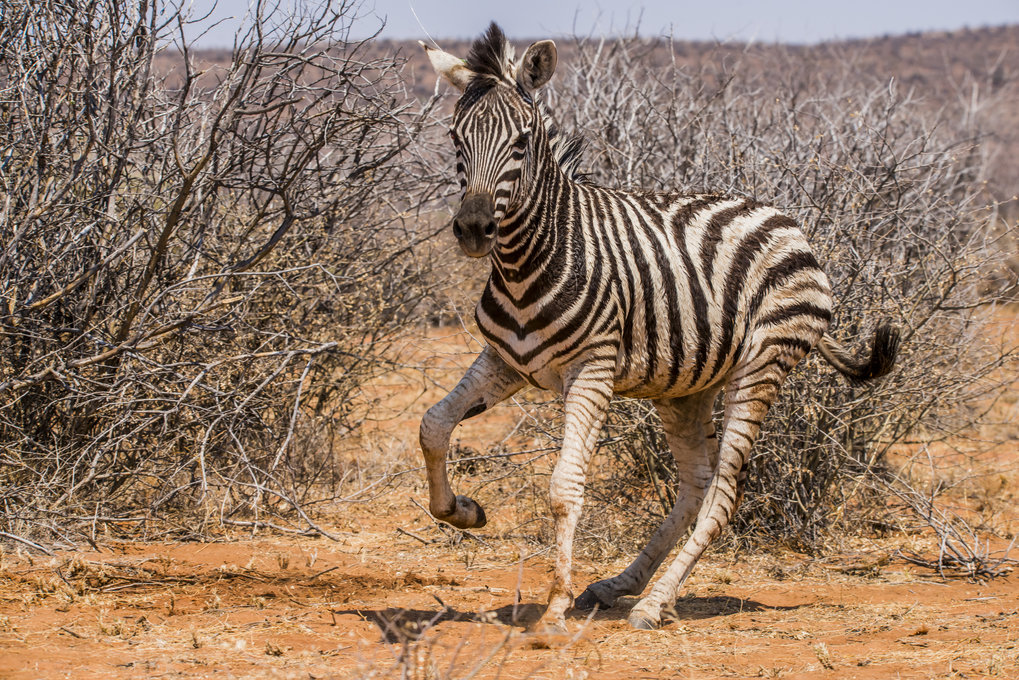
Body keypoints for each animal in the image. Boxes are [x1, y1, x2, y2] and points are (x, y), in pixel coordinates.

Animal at [417, 25, 896, 632]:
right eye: (456, 138)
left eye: (522, 141)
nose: (474, 229)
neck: (532, 261)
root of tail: (785, 221)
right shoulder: (506, 361)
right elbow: (434, 425)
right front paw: (461, 511)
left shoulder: (592, 369)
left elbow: (564, 485)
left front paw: (553, 609)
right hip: (685, 387)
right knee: (696, 484)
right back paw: (623, 584)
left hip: (762, 364)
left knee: (725, 489)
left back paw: (651, 603)